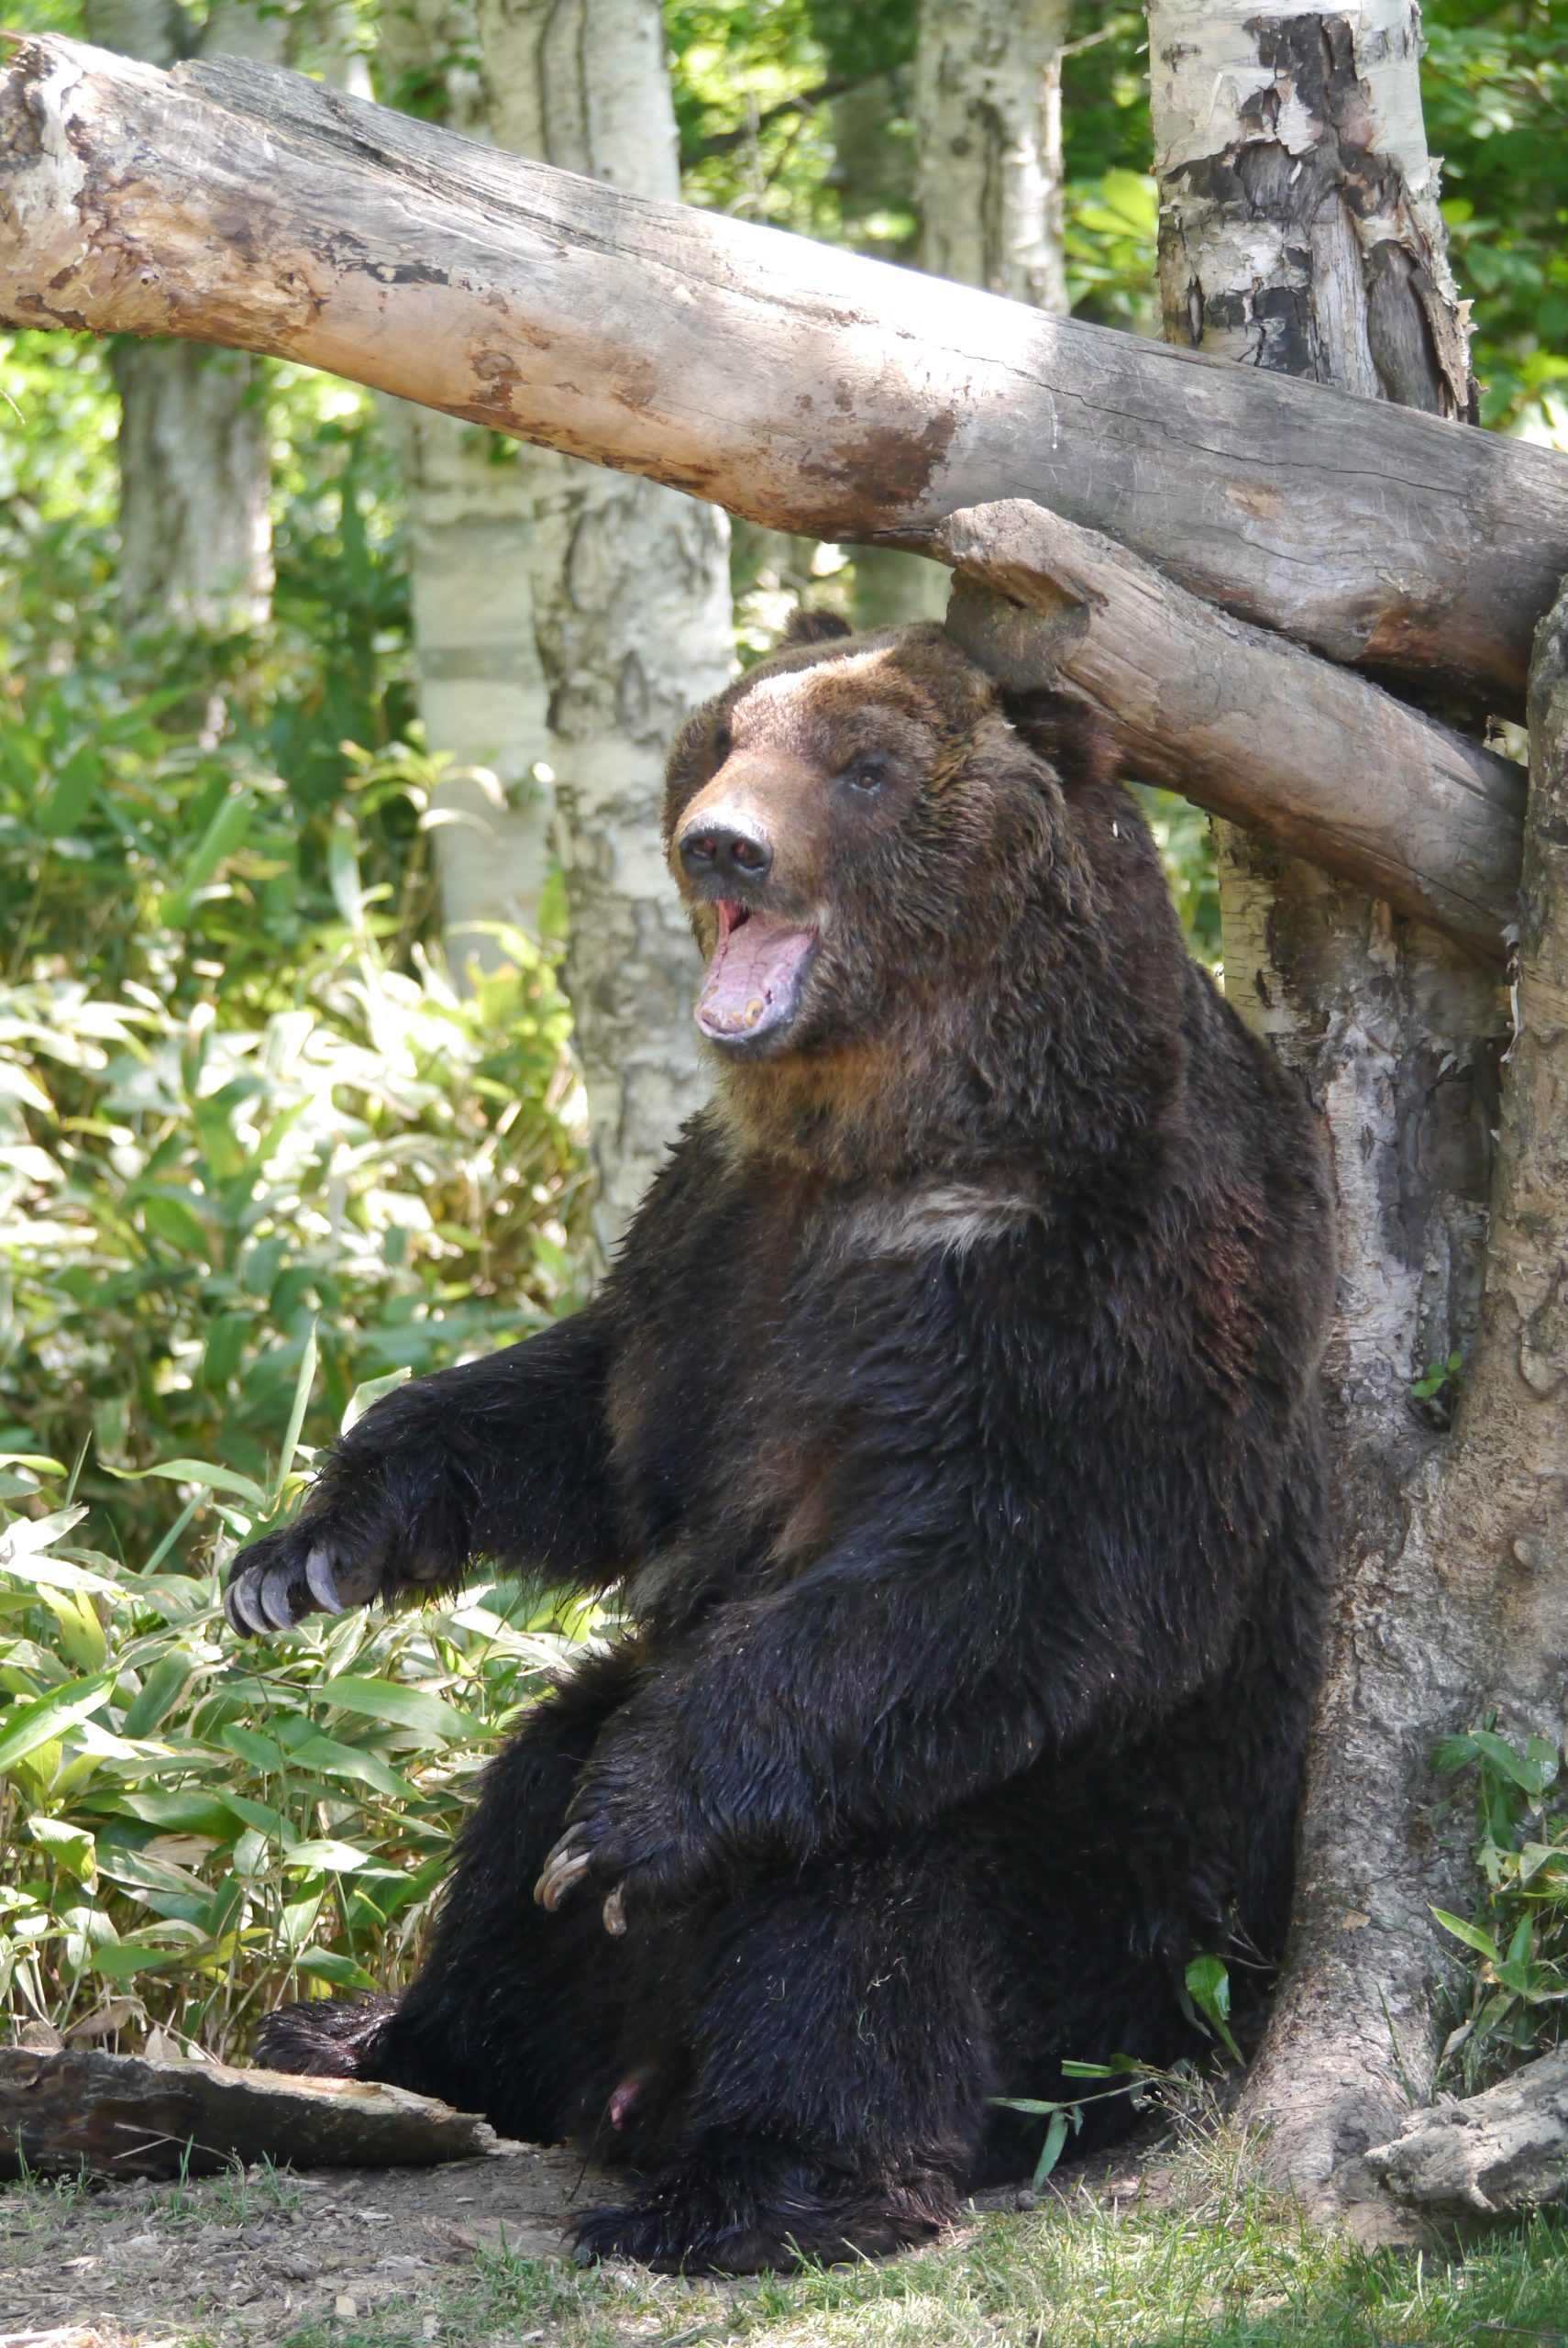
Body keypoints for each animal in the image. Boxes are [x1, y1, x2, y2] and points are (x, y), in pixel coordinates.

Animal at [226, 615, 1333, 2263]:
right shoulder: (723, 1245)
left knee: (862, 1896)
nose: (721, 842)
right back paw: (381, 2039)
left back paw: (754, 2185)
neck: (902, 1131)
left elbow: (1031, 1580)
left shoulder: (1103, 1287)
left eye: (864, 766)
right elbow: (594, 1419)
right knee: (529, 1790)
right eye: (724, 731)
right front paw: (305, 1552)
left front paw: (632, 1832)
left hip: (1110, 1937)